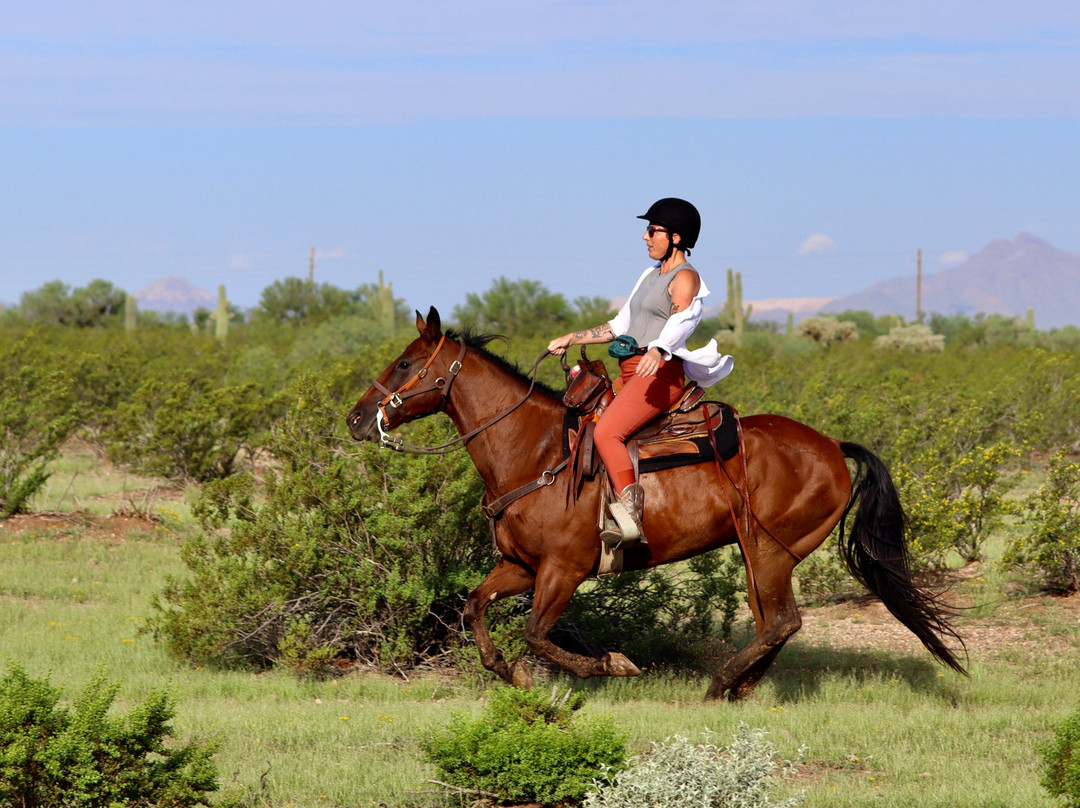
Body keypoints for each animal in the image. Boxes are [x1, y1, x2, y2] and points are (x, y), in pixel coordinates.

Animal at [346, 308, 966, 701]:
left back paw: (720, 684)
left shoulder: (564, 569)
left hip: (769, 551)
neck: (536, 452)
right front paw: (513, 677)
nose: (356, 418)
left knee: (781, 621)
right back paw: (739, 686)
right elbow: (475, 607)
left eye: (405, 364)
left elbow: (537, 633)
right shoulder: (521, 565)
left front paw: (610, 664)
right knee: (775, 623)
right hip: (758, 555)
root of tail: (834, 448)